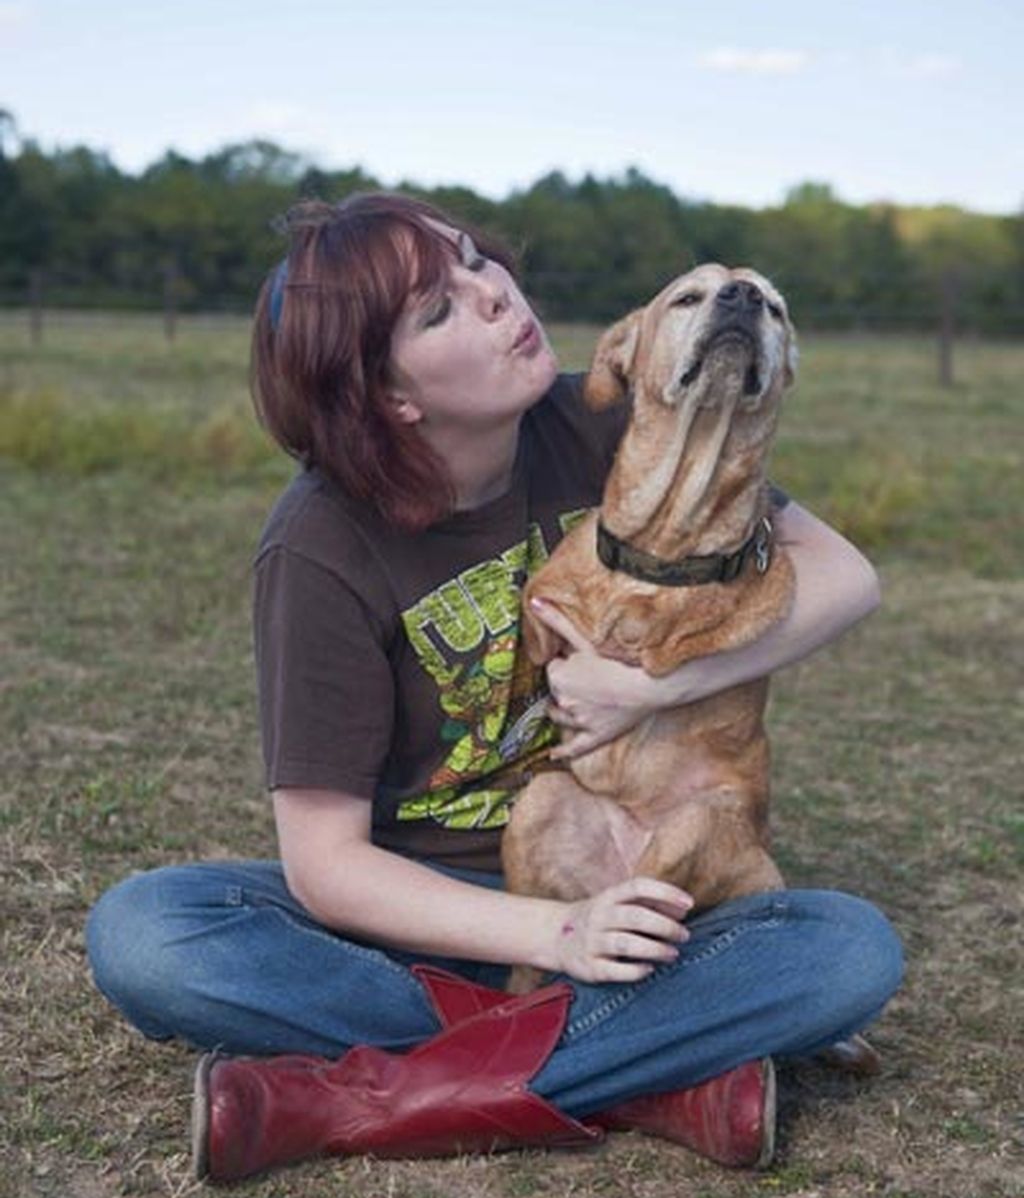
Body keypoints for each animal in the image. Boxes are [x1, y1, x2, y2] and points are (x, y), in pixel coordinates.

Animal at [500, 267, 795, 996]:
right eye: (688, 296)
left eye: (776, 308)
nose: (744, 296)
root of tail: (614, 874)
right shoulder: (551, 599)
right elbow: (537, 624)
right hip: (542, 799)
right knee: (532, 957)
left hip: (701, 826)